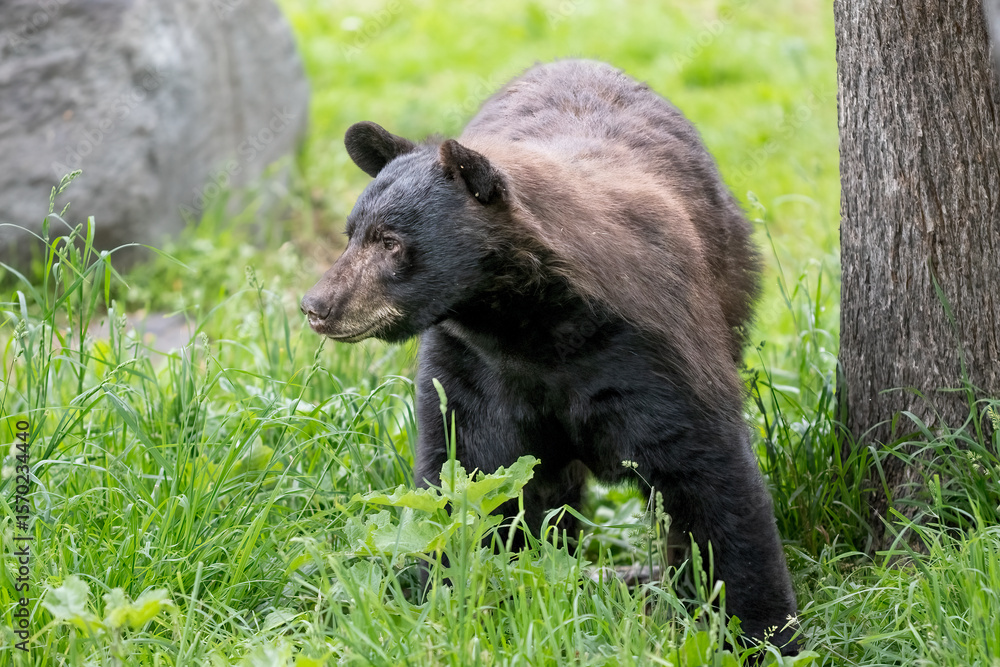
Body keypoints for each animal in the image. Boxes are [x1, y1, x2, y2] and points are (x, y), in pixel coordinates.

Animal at [301, 59, 799, 653]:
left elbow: (710, 473)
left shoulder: (653, 352)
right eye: (352, 233)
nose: (317, 305)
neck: (534, 330)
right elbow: (464, 477)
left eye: (391, 242)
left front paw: (763, 632)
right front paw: (441, 599)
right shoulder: (474, 372)